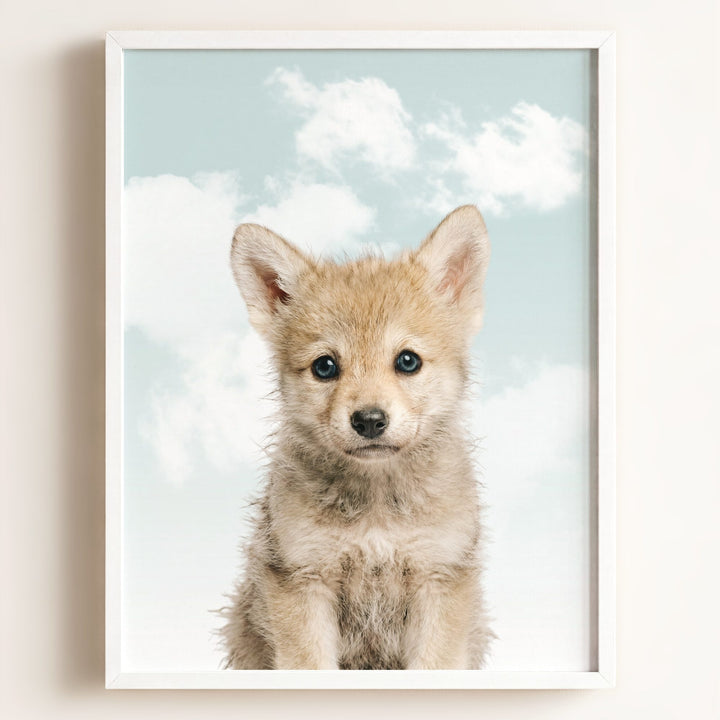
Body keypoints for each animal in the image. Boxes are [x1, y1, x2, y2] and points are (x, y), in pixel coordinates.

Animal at [220, 205, 493, 669]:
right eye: (325, 367)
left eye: (407, 361)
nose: (368, 420)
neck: (376, 510)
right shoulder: (303, 579)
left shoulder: (439, 578)